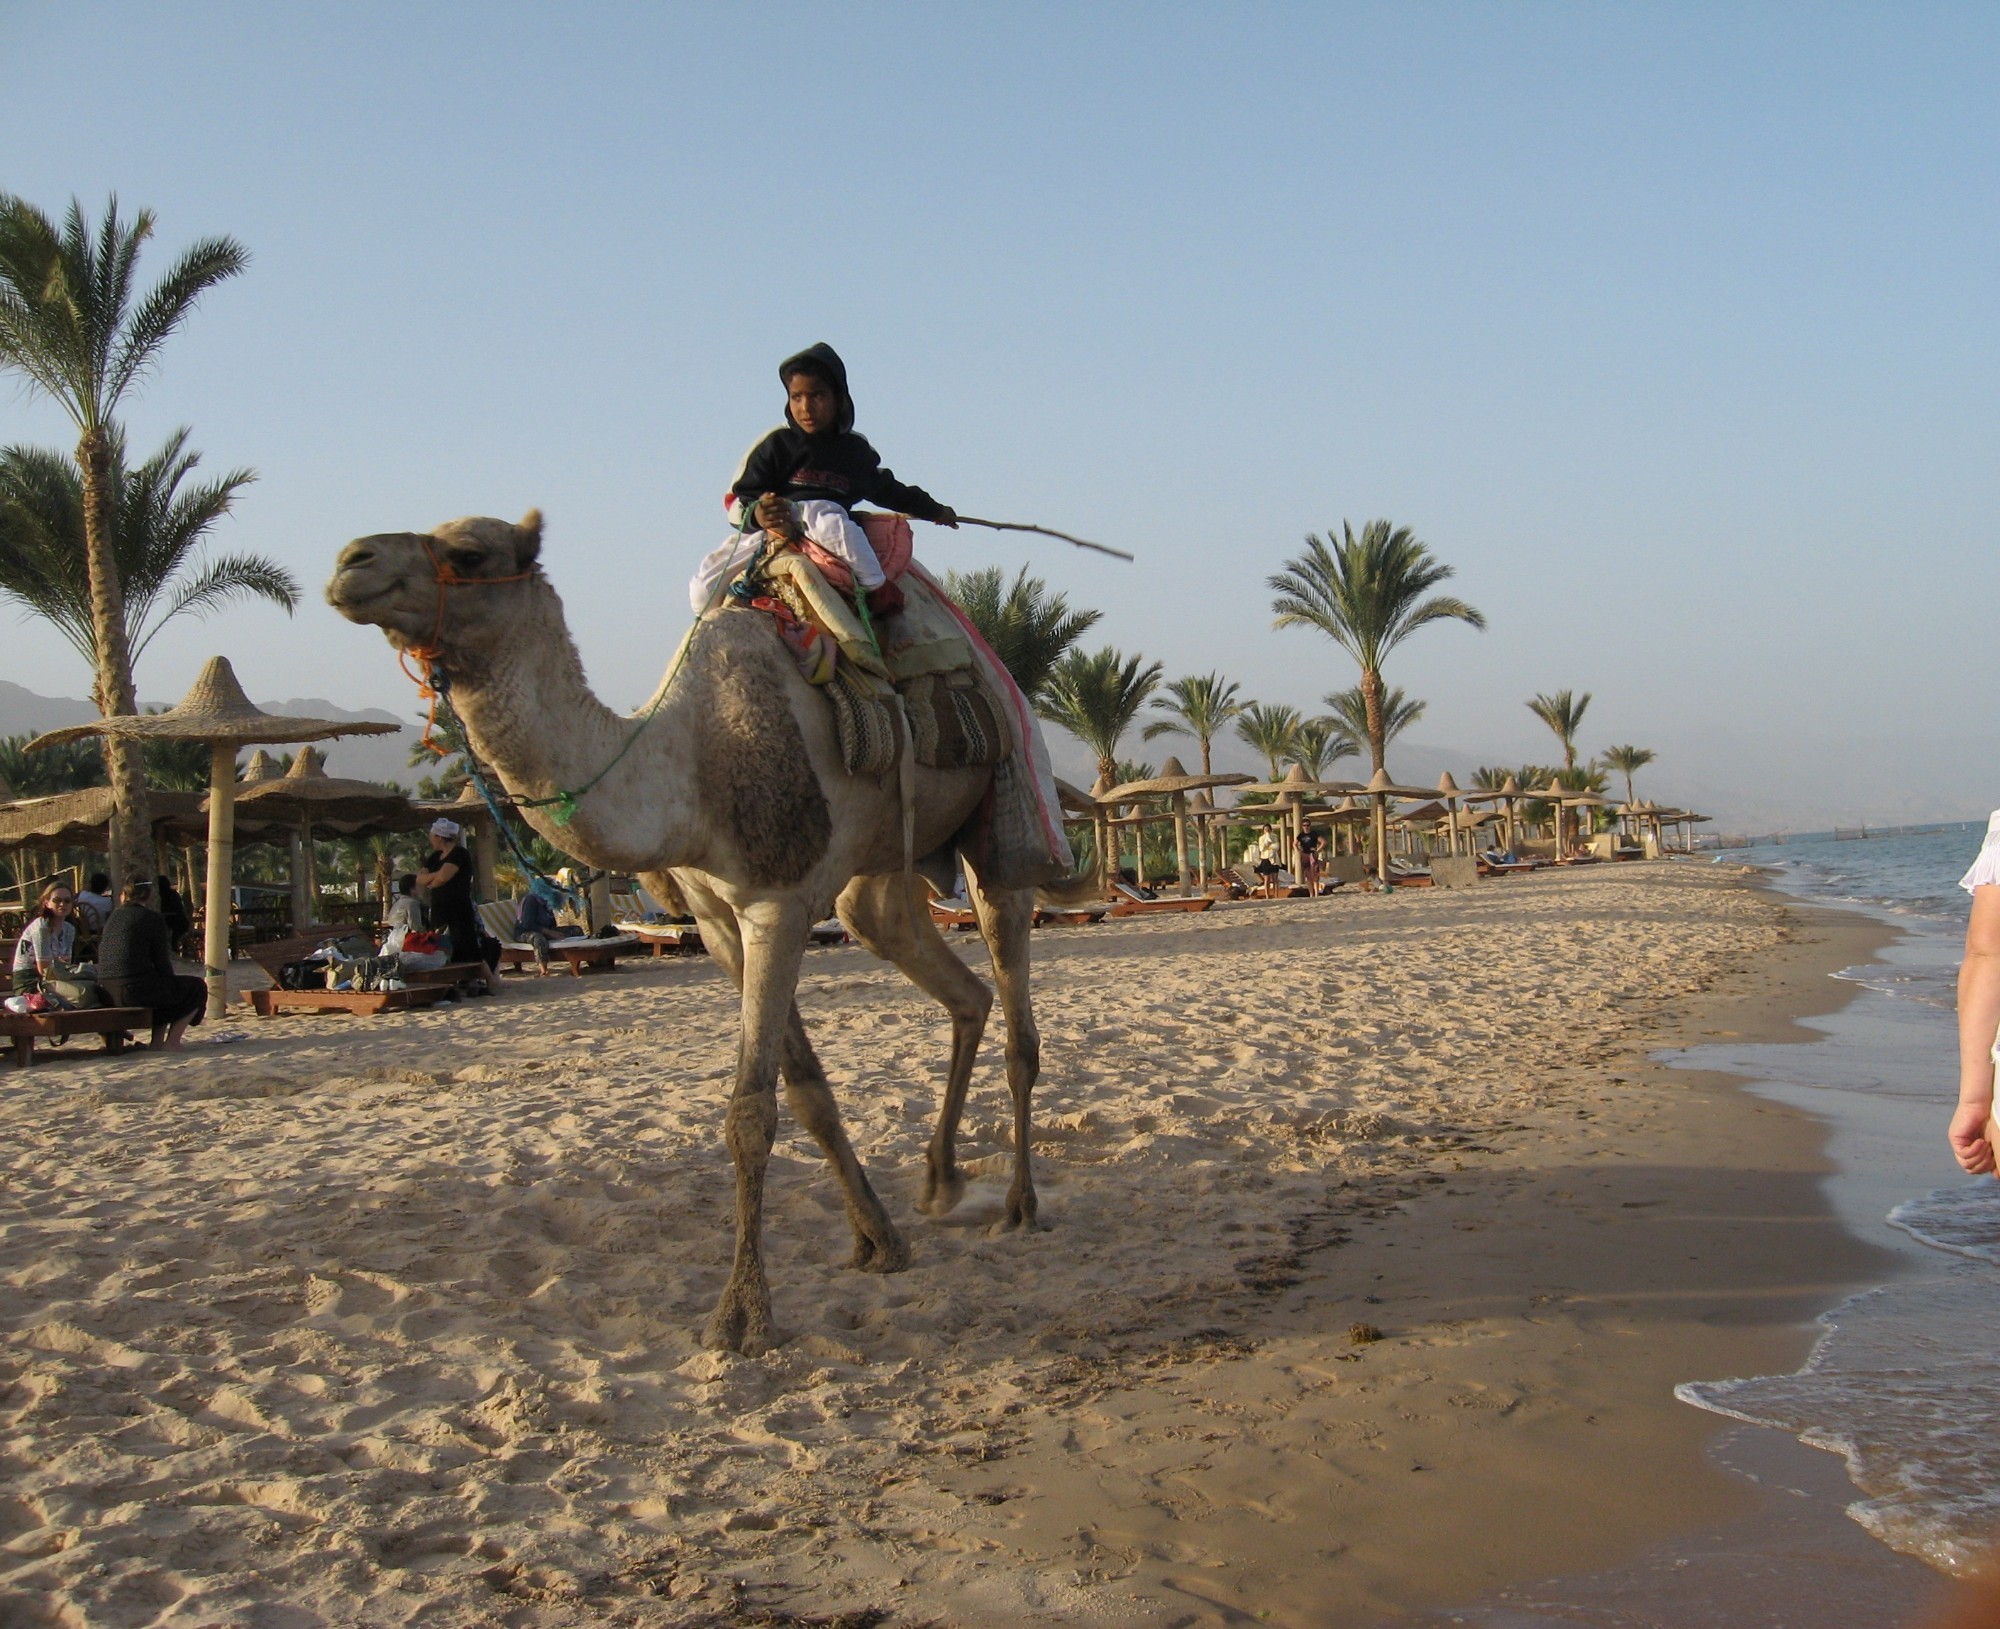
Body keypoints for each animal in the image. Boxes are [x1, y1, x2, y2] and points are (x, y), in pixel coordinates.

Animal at [324, 516, 1064, 1360]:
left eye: (469, 553)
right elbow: (807, 1093)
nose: (351, 562)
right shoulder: (718, 922)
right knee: (952, 982)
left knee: (1017, 1012)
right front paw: (878, 1239)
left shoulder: (776, 904)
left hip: (1003, 813)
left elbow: (751, 1113)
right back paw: (940, 1178)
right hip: (875, 877)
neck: (689, 771)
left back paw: (1019, 1203)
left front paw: (742, 1315)